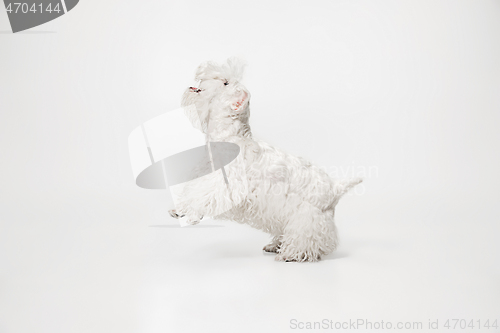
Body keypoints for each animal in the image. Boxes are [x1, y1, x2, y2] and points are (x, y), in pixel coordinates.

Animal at [170, 57, 362, 262]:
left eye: (225, 83)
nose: (201, 72)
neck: (230, 136)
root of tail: (334, 189)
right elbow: (193, 191)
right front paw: (178, 210)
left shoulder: (225, 184)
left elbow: (202, 197)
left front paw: (191, 214)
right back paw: (274, 245)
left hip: (308, 217)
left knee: (308, 239)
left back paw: (290, 254)